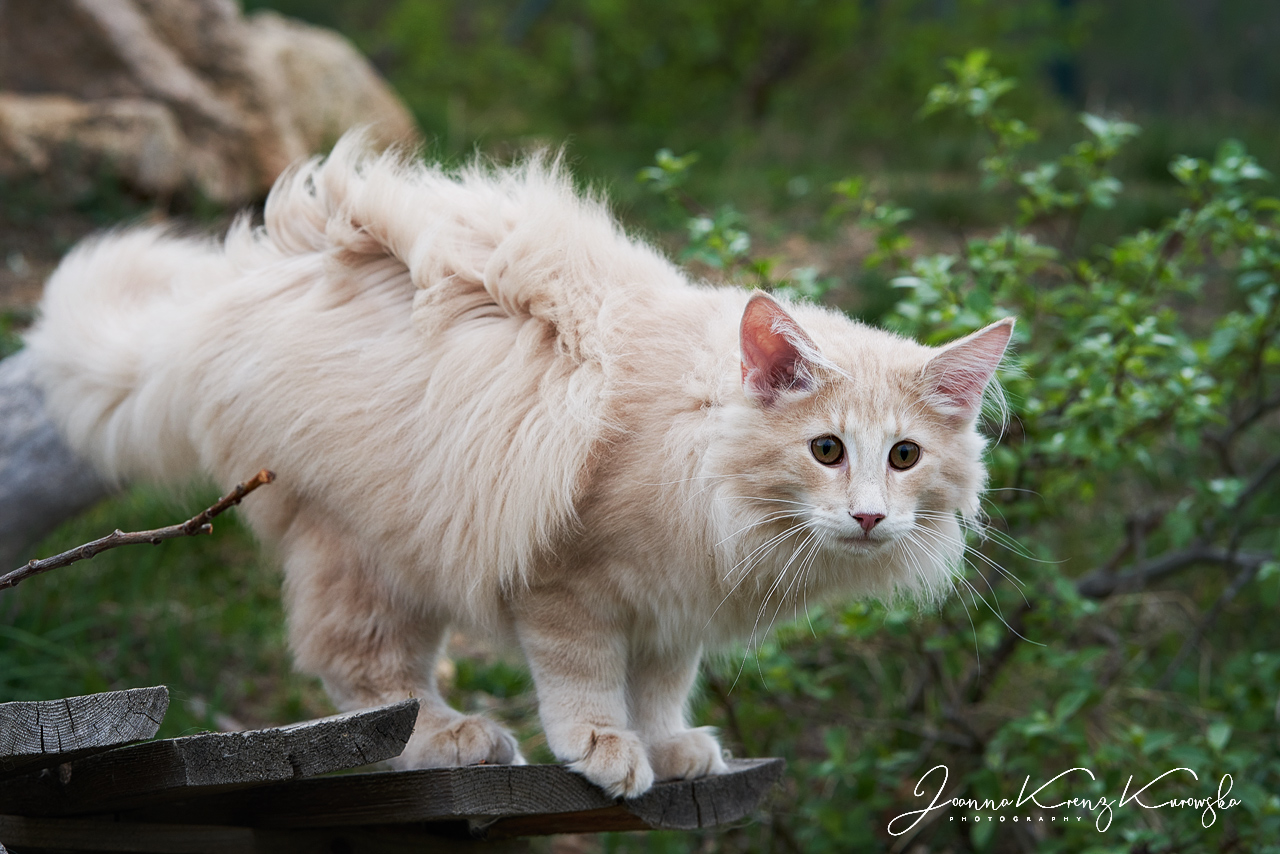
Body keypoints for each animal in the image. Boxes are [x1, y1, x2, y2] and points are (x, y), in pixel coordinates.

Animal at [24, 134, 1012, 798]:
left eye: (905, 457)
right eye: (826, 450)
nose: (870, 516)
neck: (696, 447)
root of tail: (227, 297)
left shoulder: (674, 611)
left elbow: (660, 687)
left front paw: (672, 748)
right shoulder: (569, 582)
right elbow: (585, 680)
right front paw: (606, 750)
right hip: (369, 551)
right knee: (367, 679)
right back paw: (452, 737)